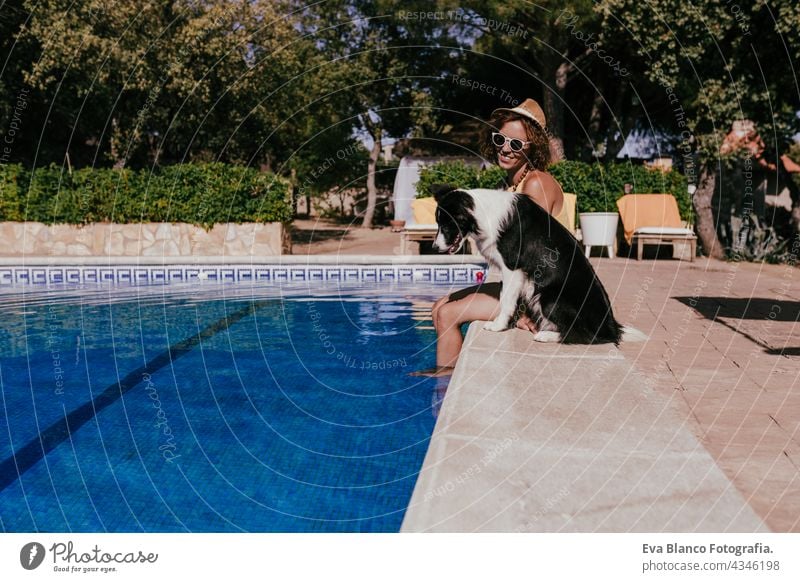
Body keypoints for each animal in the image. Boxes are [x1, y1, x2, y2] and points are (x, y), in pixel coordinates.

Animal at [432, 185, 644, 344]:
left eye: (447, 224)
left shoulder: (512, 267)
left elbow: (506, 300)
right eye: (438, 223)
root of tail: (610, 326)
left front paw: (498, 325)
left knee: (585, 335)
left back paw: (546, 335)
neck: (483, 215)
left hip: (550, 298)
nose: (434, 247)